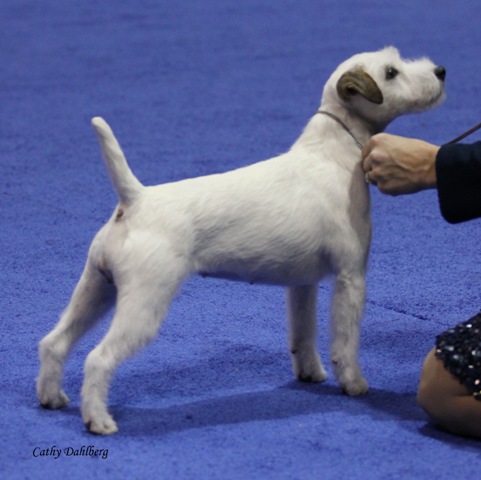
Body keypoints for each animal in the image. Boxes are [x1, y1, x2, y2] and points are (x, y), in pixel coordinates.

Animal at [37, 47, 446, 434]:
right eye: (390, 72)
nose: (440, 71)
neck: (334, 153)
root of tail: (134, 200)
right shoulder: (351, 277)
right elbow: (345, 341)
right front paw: (355, 384)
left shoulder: (303, 284)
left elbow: (304, 333)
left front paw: (310, 373)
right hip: (142, 304)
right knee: (98, 358)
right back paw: (98, 420)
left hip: (96, 289)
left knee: (54, 342)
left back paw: (51, 397)